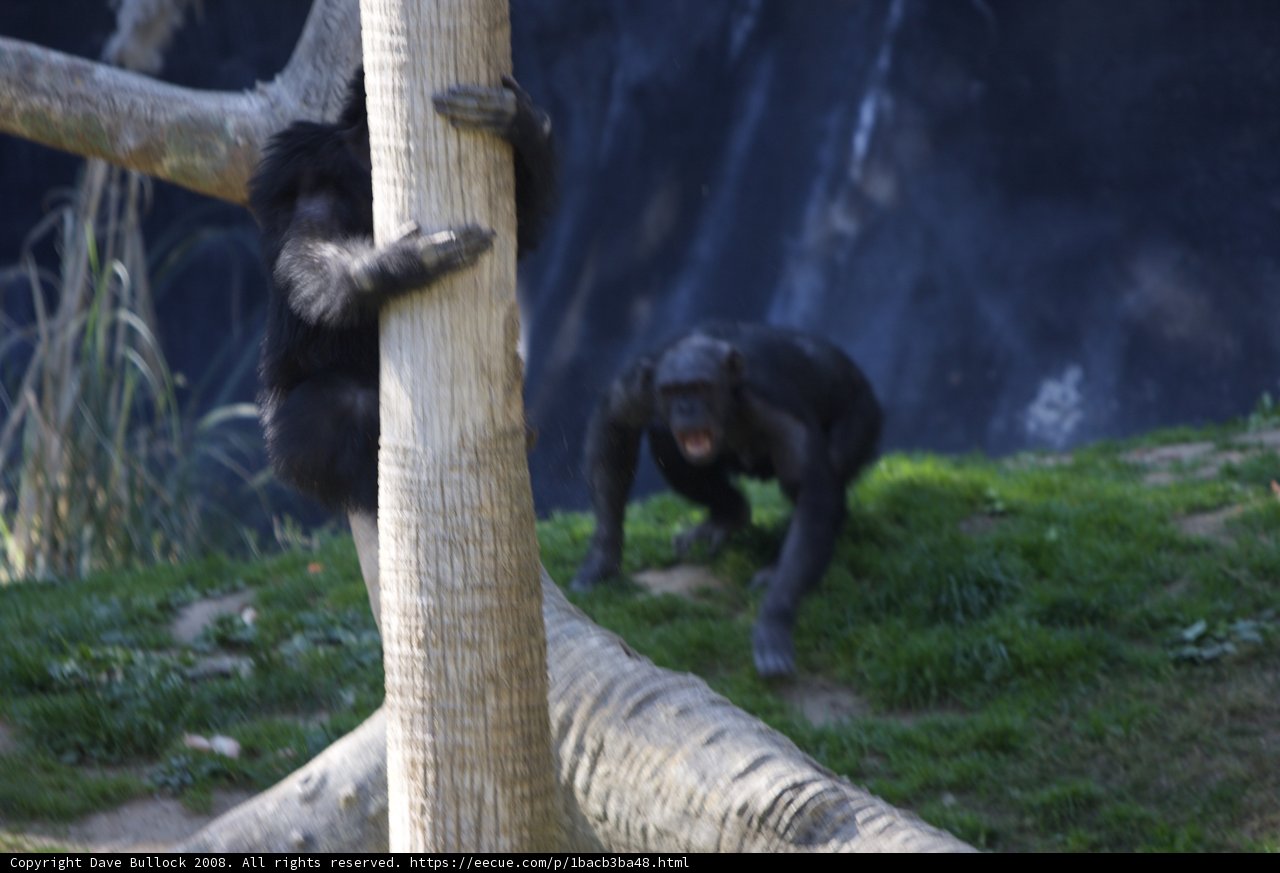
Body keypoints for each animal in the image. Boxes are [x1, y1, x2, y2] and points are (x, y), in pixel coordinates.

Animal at [571, 322, 882, 677]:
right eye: (672, 391)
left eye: (700, 387)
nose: (686, 407)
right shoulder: (636, 387)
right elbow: (615, 425)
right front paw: (601, 559)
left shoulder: (781, 412)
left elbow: (812, 495)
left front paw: (773, 619)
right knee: (664, 436)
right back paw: (728, 516)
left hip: (862, 417)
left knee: (828, 471)